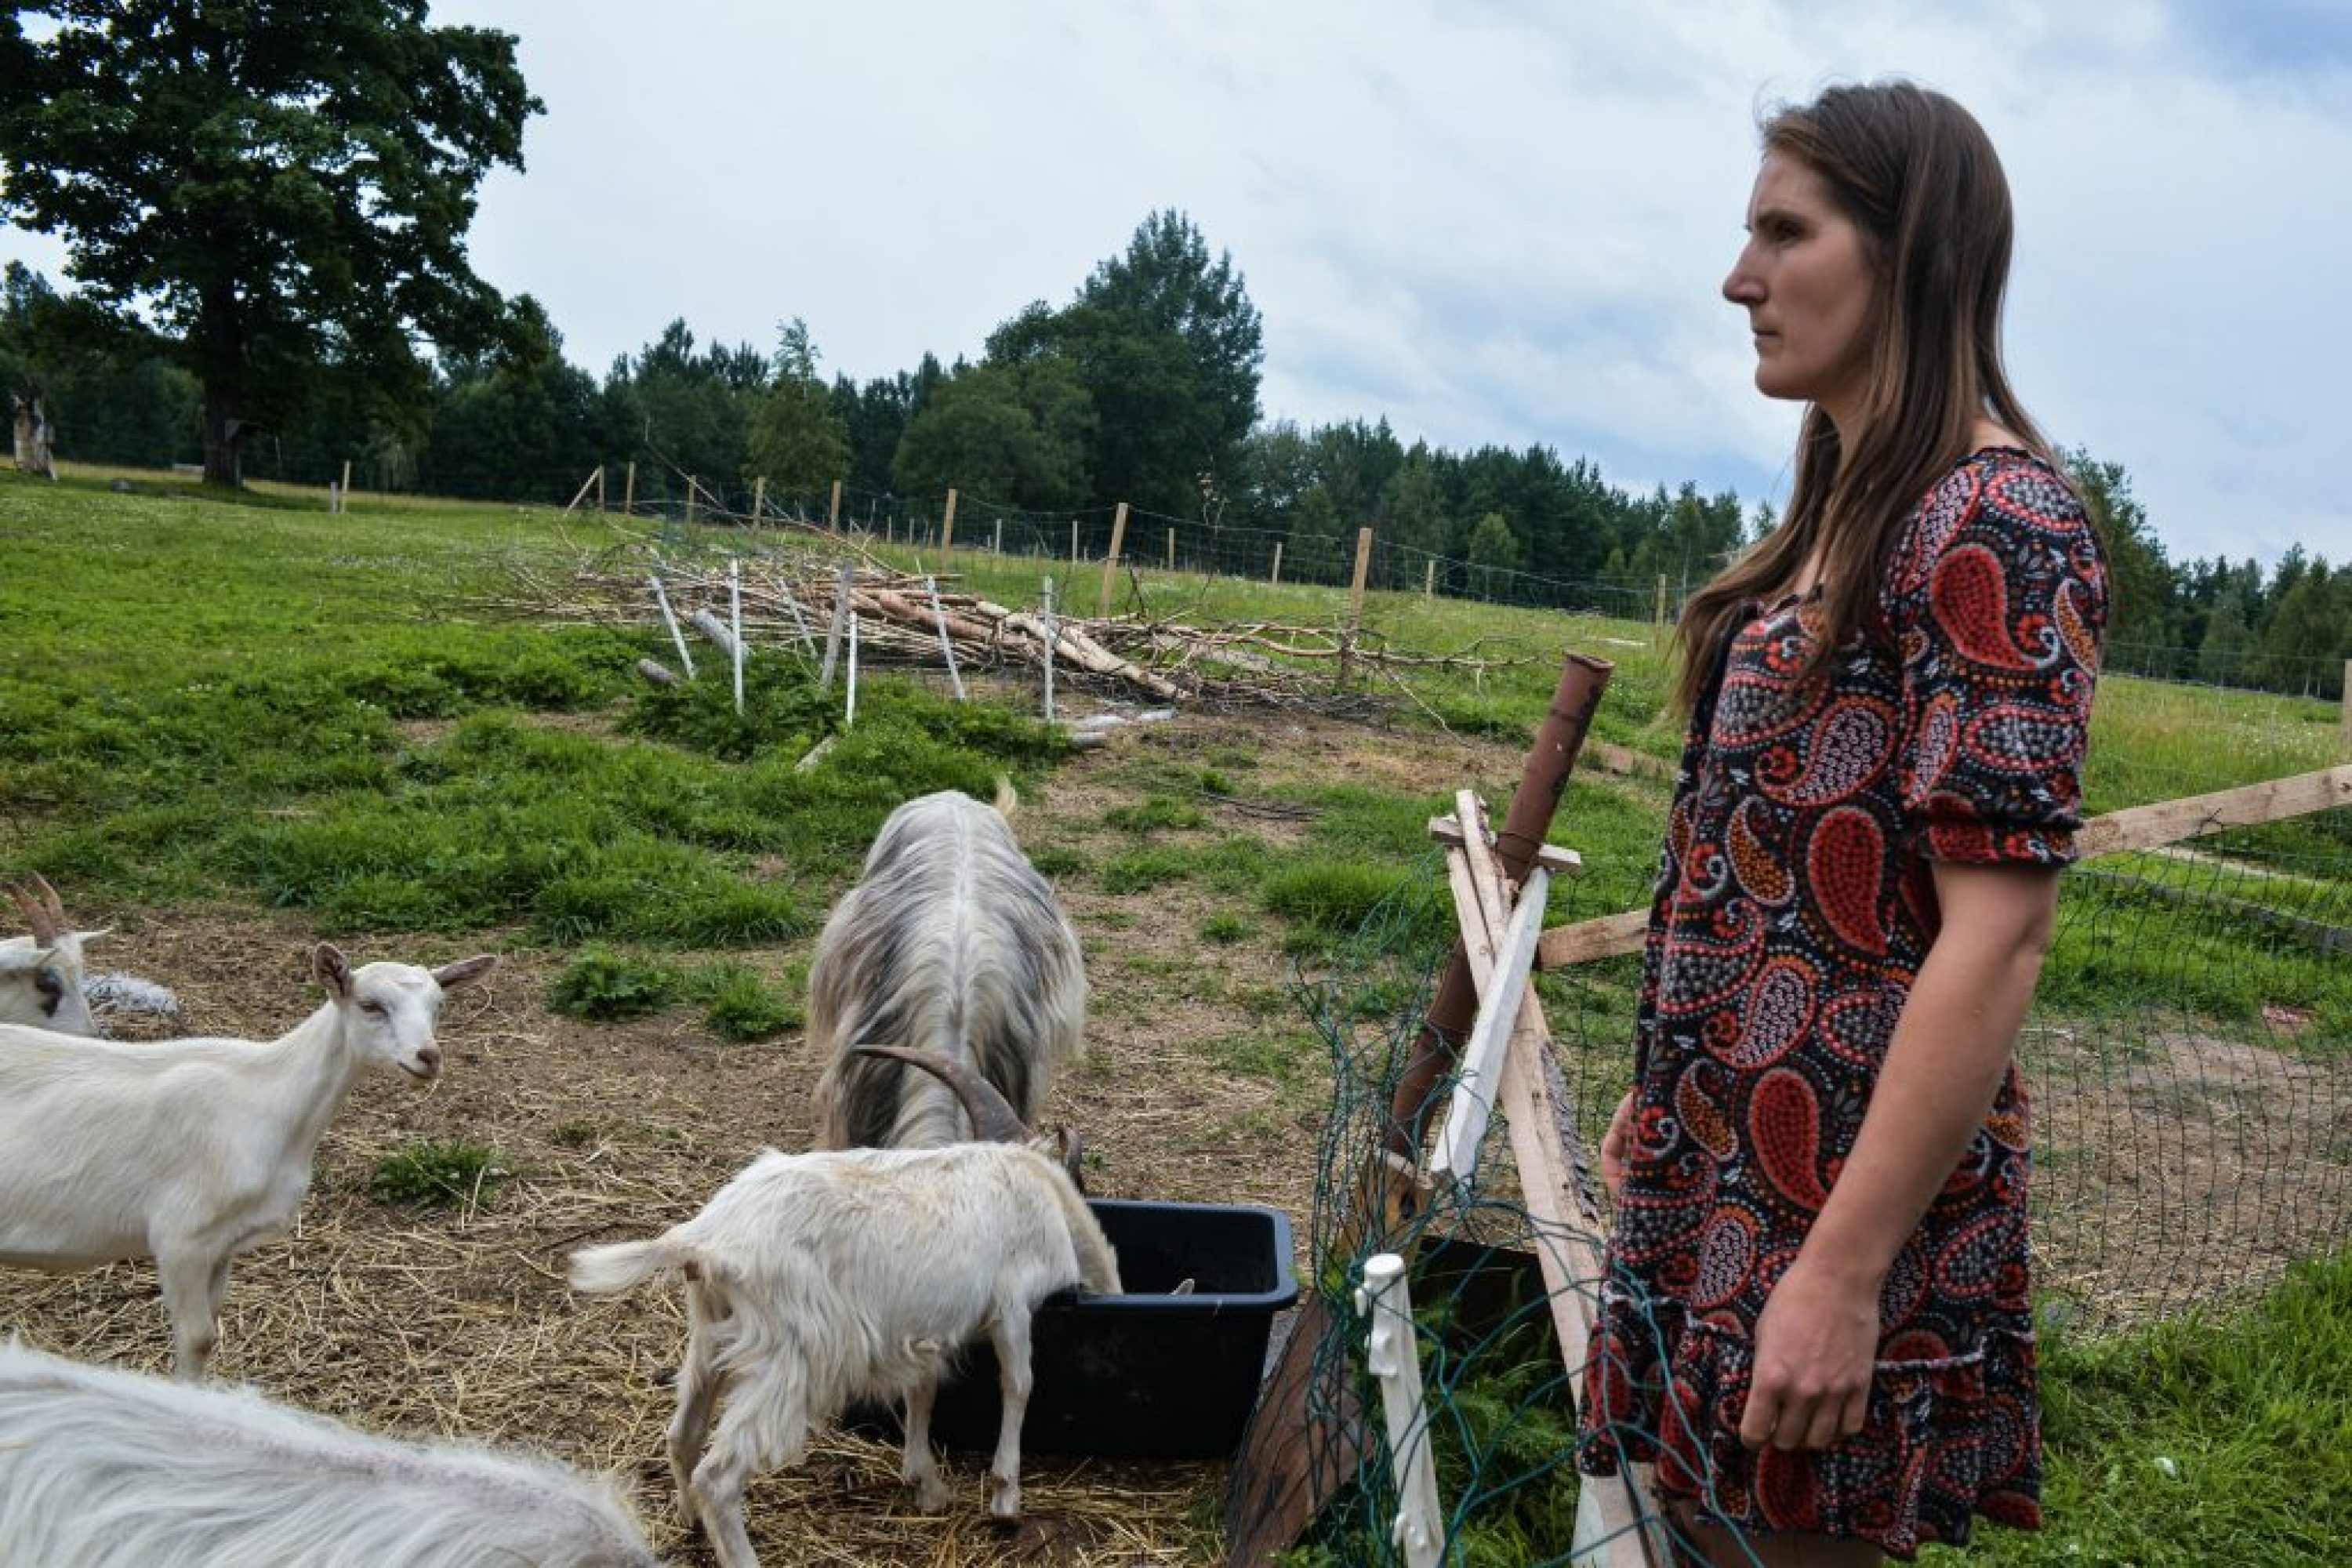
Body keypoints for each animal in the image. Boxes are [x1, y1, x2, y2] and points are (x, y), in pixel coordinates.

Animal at [0, 945, 496, 1373]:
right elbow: (198, 1339)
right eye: (371, 1005)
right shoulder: (180, 1238)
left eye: (438, 1006)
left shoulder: (222, 1243)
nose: (428, 1058)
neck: (268, 1101)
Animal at [569, 1044, 1120, 1568]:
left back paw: (689, 1524)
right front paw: (1005, 1499)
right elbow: (1019, 1384)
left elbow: (922, 1390)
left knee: (682, 1434)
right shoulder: (1011, 1308)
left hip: (710, 1333)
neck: (1040, 1187)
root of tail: (705, 1238)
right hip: (795, 1355)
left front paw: (926, 1486)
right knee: (719, 1475)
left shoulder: (921, 1327)